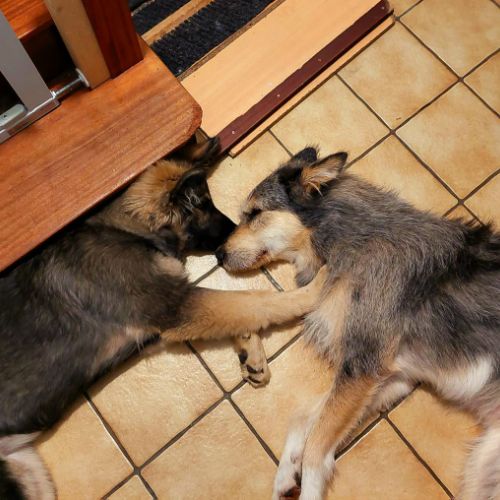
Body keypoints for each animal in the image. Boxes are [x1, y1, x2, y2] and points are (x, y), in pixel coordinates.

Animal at [0, 139, 326, 500]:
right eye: (204, 206)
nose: (226, 249)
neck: (130, 231)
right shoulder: (177, 306)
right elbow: (256, 301)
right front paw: (312, 291)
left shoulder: (159, 327)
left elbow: (240, 310)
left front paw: (249, 351)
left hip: (31, 476)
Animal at [217, 147, 500, 500]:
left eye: (255, 213)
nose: (217, 253)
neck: (350, 238)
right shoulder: (391, 377)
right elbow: (304, 419)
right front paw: (285, 473)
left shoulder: (363, 366)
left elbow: (316, 450)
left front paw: (306, 484)